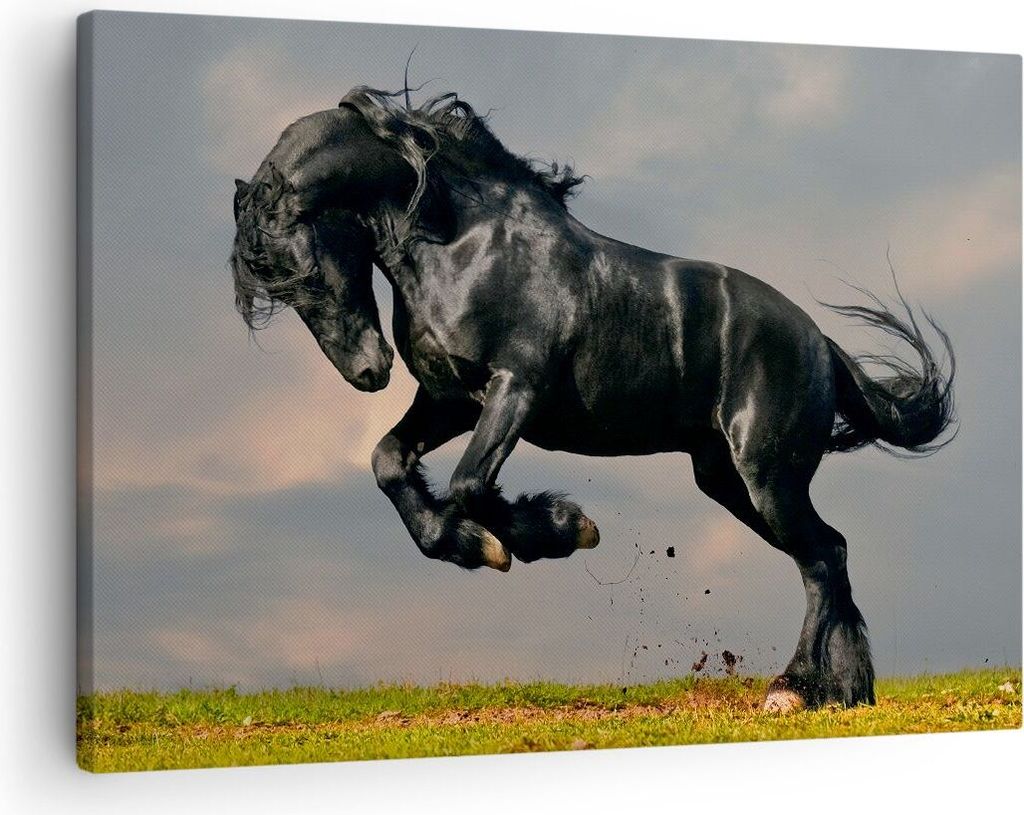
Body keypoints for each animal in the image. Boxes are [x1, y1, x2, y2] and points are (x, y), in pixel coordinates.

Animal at [230, 86, 956, 711]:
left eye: (304, 270)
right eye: (274, 287)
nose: (368, 370)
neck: (465, 242)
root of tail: (819, 343)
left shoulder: (515, 389)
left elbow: (469, 483)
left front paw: (555, 529)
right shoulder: (449, 399)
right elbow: (389, 464)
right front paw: (474, 543)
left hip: (767, 476)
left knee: (822, 558)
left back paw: (795, 688)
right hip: (727, 481)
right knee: (831, 553)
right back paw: (846, 691)